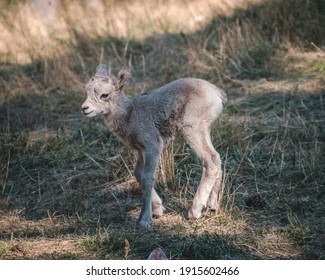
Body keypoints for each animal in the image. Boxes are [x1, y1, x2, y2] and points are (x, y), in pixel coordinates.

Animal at [81, 64, 227, 229]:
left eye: (104, 95)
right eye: (86, 91)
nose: (84, 108)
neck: (131, 116)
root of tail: (218, 94)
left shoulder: (153, 146)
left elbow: (147, 177)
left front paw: (144, 220)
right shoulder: (141, 150)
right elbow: (138, 174)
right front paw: (158, 210)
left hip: (192, 130)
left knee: (210, 162)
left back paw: (194, 212)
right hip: (204, 131)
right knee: (216, 158)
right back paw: (212, 205)